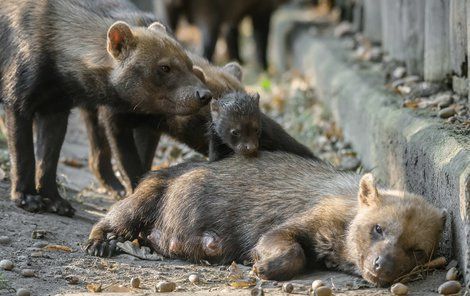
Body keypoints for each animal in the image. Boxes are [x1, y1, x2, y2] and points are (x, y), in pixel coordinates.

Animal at [0, 0, 209, 215]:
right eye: (165, 67)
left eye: (190, 64)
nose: (205, 95)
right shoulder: (18, 101)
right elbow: (24, 154)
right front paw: (27, 197)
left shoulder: (56, 109)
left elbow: (49, 158)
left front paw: (54, 200)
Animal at [87, 151, 444, 286]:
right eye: (378, 228)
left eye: (416, 250)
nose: (381, 266)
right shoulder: (292, 225)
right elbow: (290, 251)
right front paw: (260, 266)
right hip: (146, 196)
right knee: (112, 218)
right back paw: (100, 244)